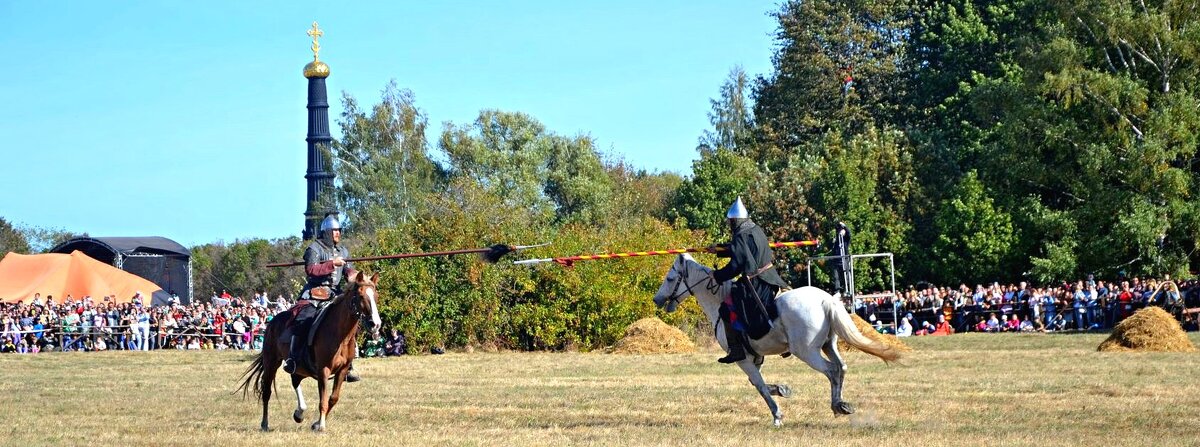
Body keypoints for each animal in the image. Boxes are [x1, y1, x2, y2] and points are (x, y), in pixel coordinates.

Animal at [237, 270, 379, 430]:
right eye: (360, 296)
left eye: (376, 296)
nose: (375, 324)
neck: (340, 335)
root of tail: (272, 321)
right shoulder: (323, 370)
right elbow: (323, 400)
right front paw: (321, 425)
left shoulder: (342, 371)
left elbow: (333, 398)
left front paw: (317, 423)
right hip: (271, 362)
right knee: (267, 391)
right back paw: (265, 423)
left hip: (299, 367)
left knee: (295, 381)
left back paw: (299, 412)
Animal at [652, 254, 897, 425]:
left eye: (670, 278)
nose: (657, 299)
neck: (719, 299)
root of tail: (826, 299)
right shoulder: (755, 357)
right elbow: (757, 383)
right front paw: (781, 389)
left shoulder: (742, 358)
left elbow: (759, 385)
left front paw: (777, 414)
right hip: (829, 344)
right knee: (842, 366)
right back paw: (841, 405)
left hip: (807, 352)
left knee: (831, 370)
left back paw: (837, 405)